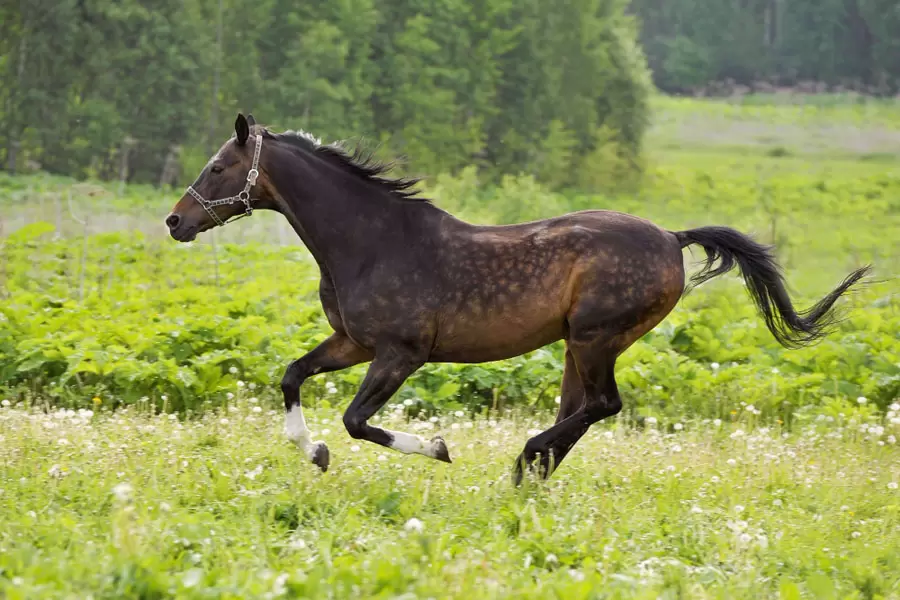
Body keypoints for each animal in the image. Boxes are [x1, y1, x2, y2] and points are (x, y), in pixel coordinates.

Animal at [165, 115, 868, 486]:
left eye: (218, 168)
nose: (176, 221)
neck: (371, 242)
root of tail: (672, 239)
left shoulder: (401, 353)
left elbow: (357, 421)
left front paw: (439, 447)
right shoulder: (353, 343)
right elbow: (291, 376)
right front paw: (313, 453)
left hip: (595, 336)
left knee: (601, 405)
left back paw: (528, 457)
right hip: (577, 345)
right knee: (581, 409)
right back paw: (533, 472)